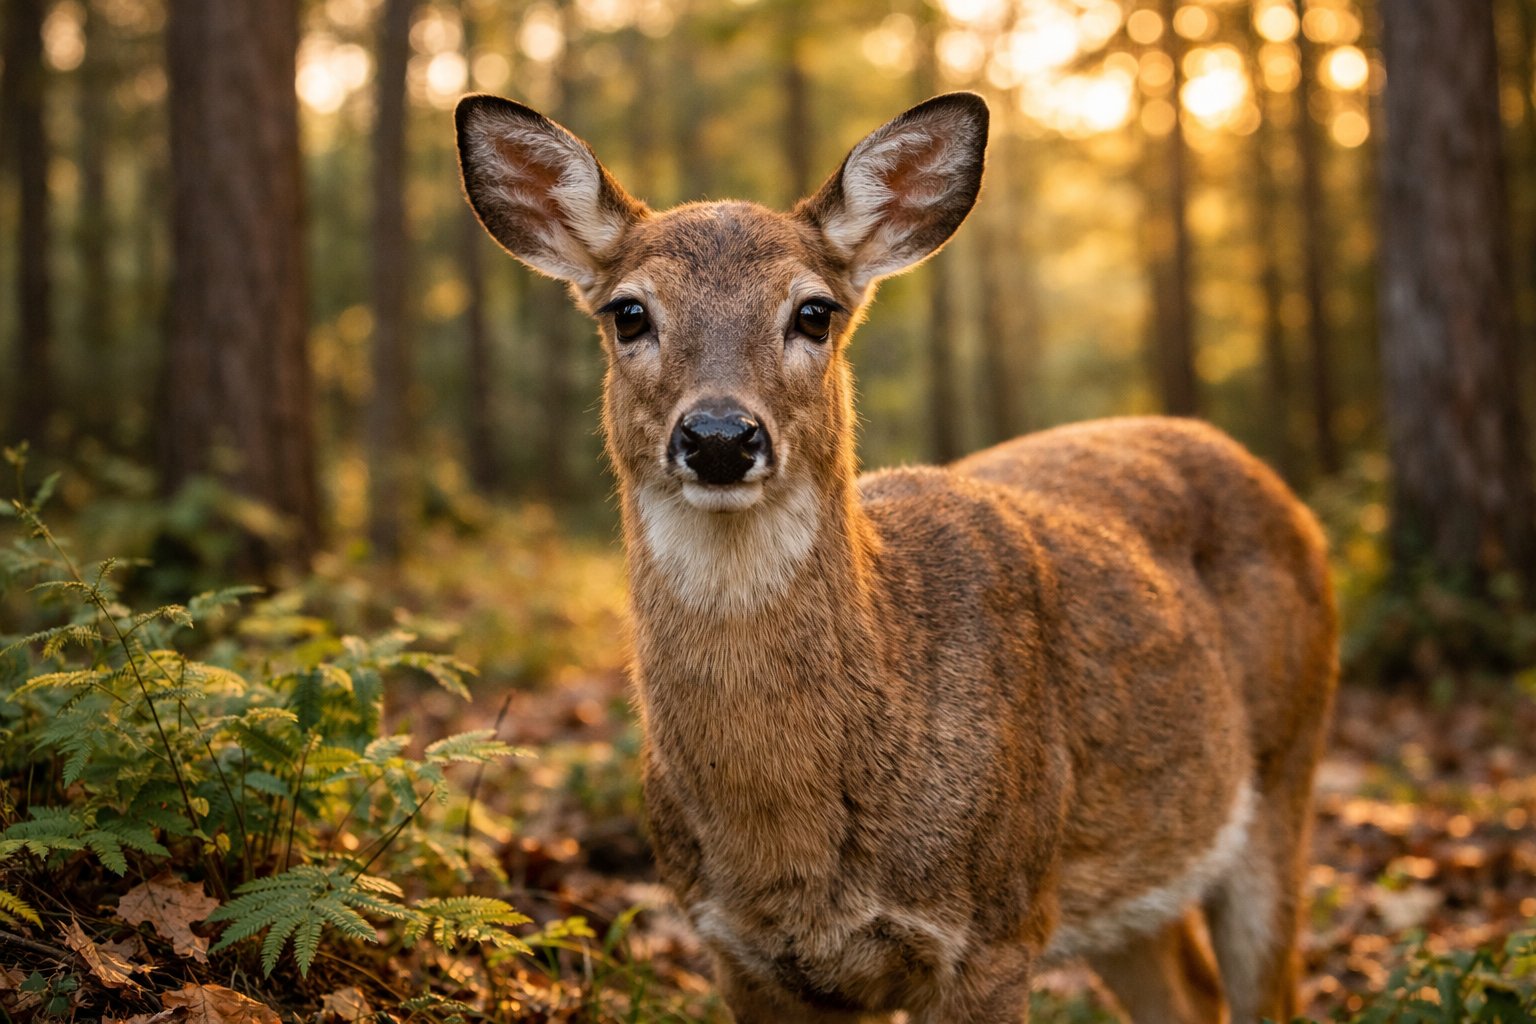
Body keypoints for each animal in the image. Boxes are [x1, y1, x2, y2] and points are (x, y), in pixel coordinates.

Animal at [455, 91, 1338, 1024]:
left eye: (814, 311)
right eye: (628, 312)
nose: (721, 436)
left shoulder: (994, 931)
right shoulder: (739, 951)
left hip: (1288, 767)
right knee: (1189, 989)